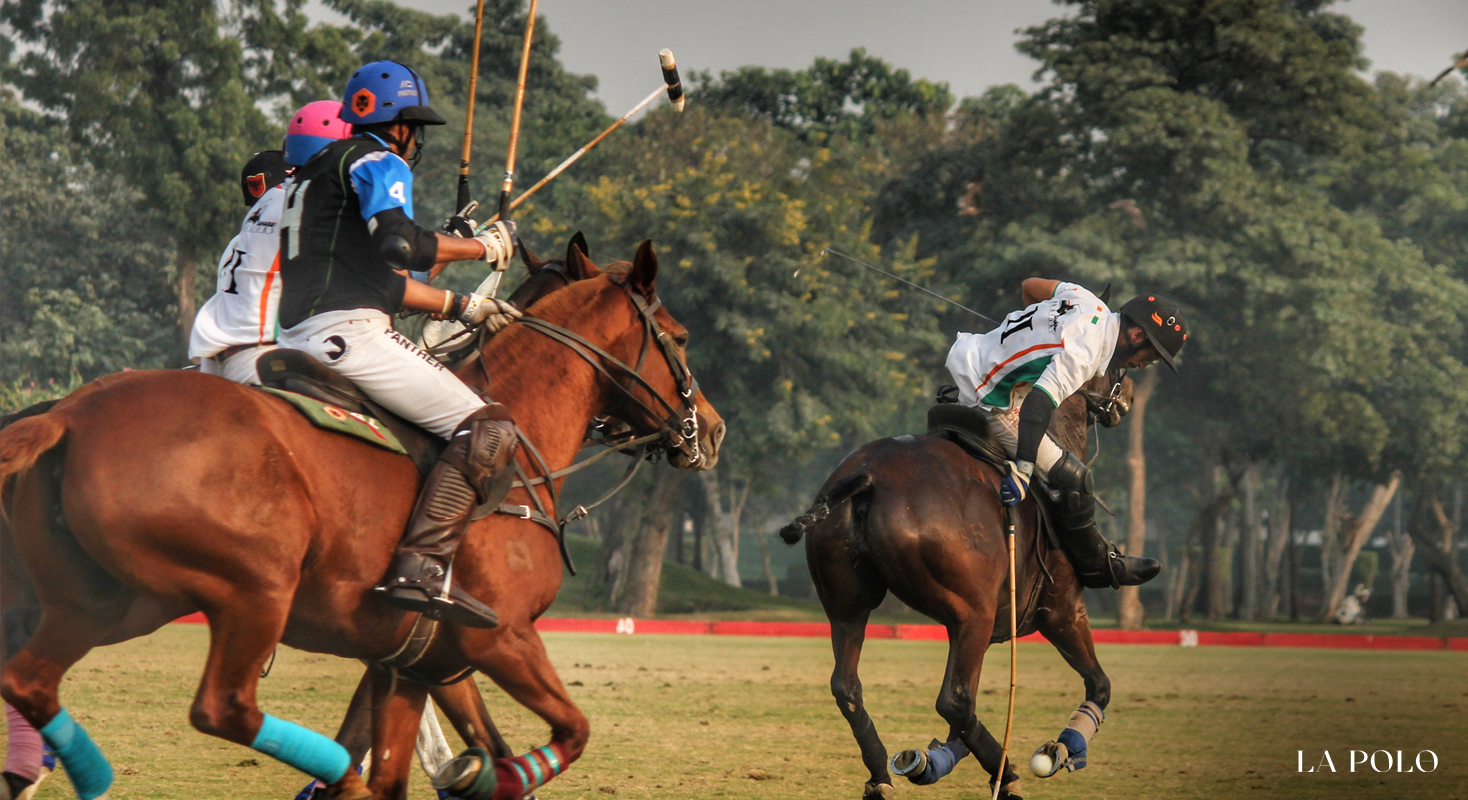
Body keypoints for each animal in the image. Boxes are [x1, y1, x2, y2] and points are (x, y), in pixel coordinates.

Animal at [0, 240, 722, 792]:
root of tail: (66, 415)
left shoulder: (415, 661)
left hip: (106, 599)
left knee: (28, 682)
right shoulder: (501, 638)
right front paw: (489, 776)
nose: (710, 431)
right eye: (682, 338)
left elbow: (400, 762)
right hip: (252, 588)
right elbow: (565, 733)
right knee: (224, 707)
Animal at [786, 372, 1127, 798]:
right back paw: (1006, 776)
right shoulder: (1061, 609)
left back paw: (883, 774)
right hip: (974, 614)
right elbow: (1100, 684)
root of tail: (866, 476)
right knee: (955, 701)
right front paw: (1066, 747)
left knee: (847, 687)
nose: (1125, 399)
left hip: (849, 607)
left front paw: (933, 757)